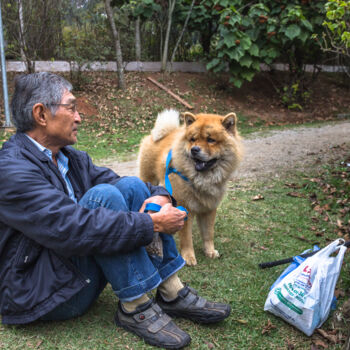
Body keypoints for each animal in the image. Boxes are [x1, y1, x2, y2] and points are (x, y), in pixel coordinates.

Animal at [138, 109, 242, 266]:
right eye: (193, 139)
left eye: (211, 140)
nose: (194, 149)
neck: (202, 179)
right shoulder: (185, 207)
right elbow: (187, 237)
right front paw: (188, 257)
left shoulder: (209, 208)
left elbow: (208, 233)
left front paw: (210, 251)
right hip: (149, 179)